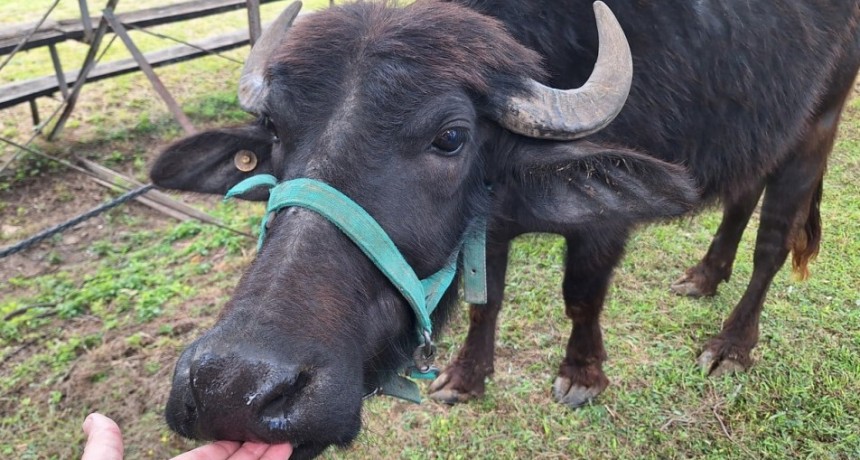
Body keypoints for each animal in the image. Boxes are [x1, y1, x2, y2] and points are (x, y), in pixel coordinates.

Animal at [150, 0, 860, 457]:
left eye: (451, 137)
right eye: (273, 131)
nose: (232, 389)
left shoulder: (604, 223)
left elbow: (580, 296)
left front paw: (581, 375)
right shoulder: (485, 229)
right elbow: (484, 298)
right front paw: (466, 378)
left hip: (819, 122)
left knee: (773, 240)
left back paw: (731, 344)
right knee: (742, 197)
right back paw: (705, 275)